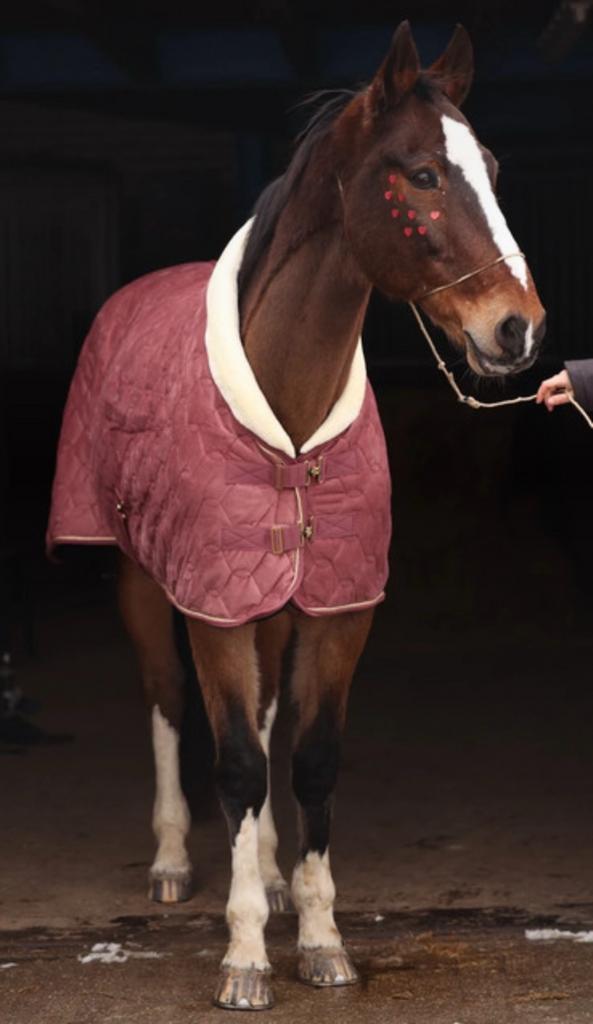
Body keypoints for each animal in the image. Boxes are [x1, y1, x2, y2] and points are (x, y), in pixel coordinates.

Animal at [48, 21, 545, 1011]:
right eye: (420, 173)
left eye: (491, 166)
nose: (517, 329)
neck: (288, 422)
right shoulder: (214, 603)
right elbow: (235, 760)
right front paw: (243, 959)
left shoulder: (338, 604)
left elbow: (308, 755)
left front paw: (318, 937)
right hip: (143, 579)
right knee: (166, 700)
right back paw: (172, 862)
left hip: (274, 604)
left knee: (267, 715)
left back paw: (272, 877)